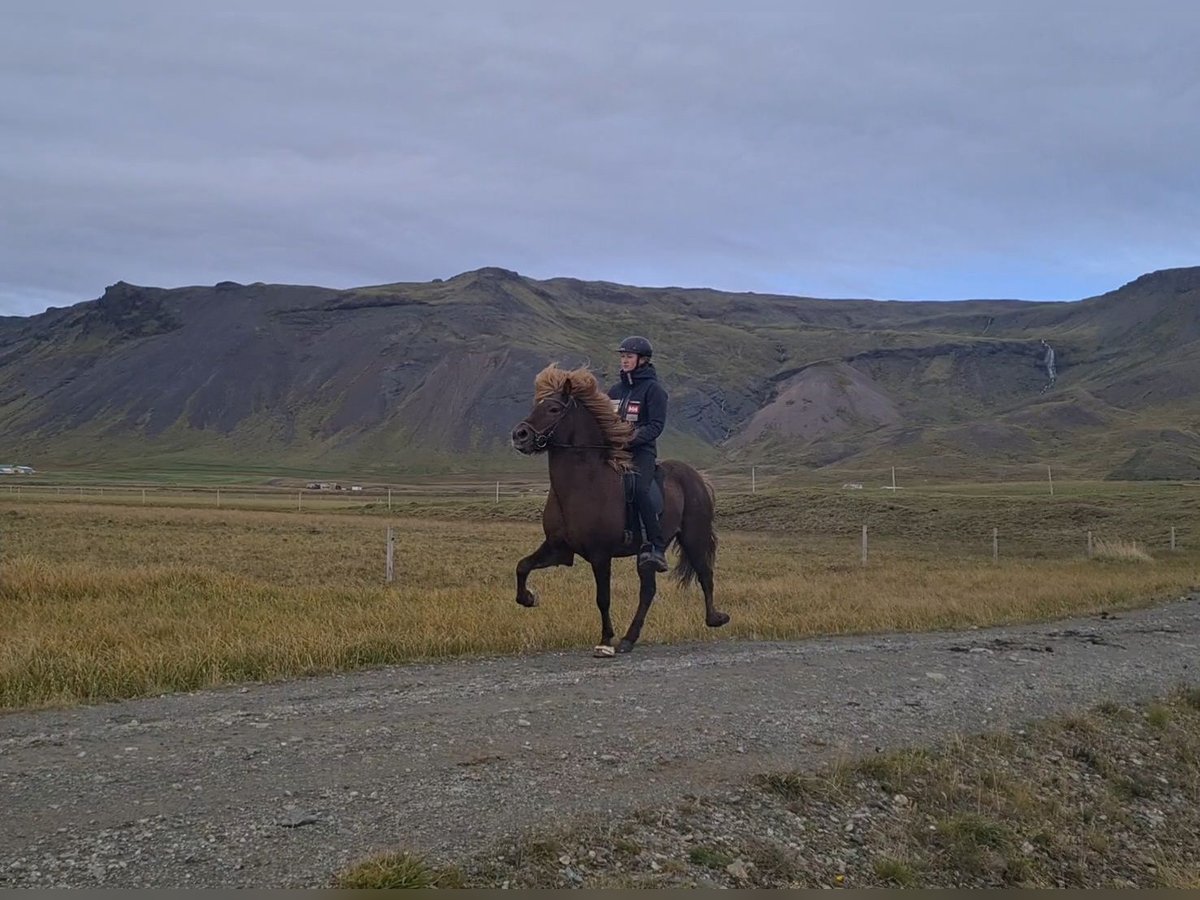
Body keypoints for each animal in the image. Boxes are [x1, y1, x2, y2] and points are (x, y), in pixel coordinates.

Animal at [508, 364, 729, 657]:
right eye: (537, 405)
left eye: (554, 408)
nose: (519, 435)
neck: (583, 483)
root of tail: (696, 476)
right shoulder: (558, 549)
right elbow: (522, 566)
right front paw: (528, 598)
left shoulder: (600, 555)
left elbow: (603, 598)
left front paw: (605, 641)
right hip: (646, 557)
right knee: (648, 592)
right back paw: (629, 639)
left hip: (693, 537)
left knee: (704, 573)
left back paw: (715, 618)